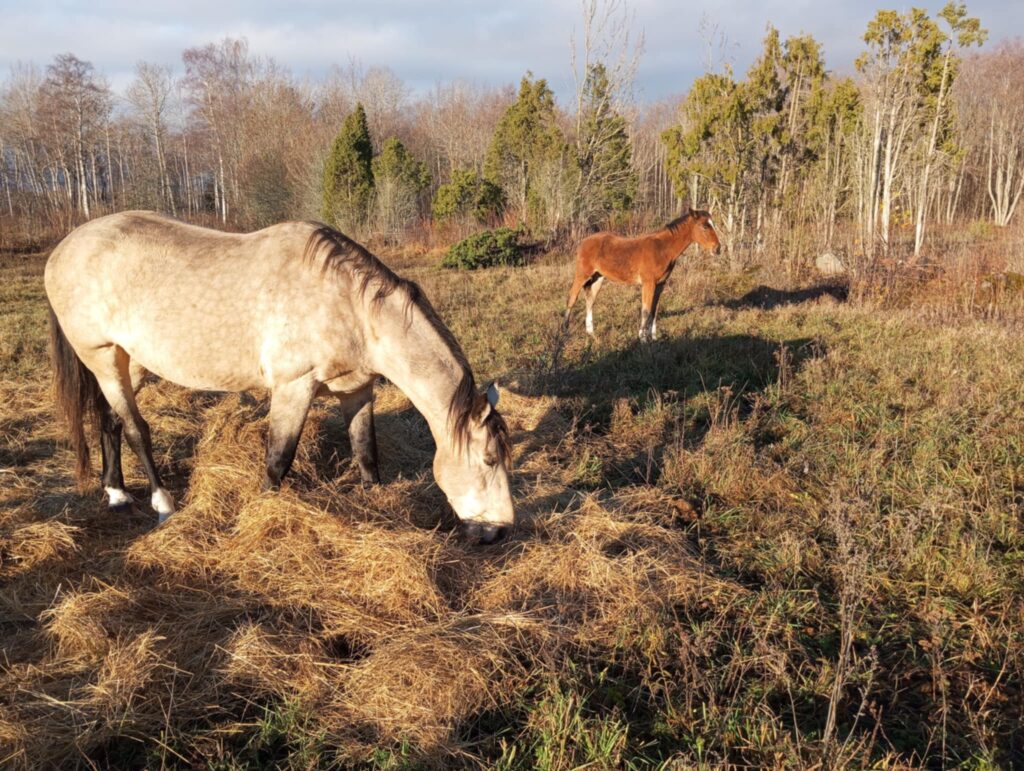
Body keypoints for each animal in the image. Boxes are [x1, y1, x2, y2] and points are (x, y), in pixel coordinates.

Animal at [45, 211, 516, 540]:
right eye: (489, 460)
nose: (496, 533)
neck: (349, 307)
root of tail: (62, 250)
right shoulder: (294, 386)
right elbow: (278, 459)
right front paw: (263, 516)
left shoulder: (356, 389)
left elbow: (365, 452)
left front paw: (375, 502)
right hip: (102, 357)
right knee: (135, 429)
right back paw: (162, 505)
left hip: (132, 360)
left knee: (110, 420)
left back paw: (117, 494)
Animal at [565, 207, 724, 339]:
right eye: (704, 226)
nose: (717, 249)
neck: (662, 249)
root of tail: (583, 241)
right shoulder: (648, 283)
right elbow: (646, 310)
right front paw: (642, 339)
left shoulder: (660, 284)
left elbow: (654, 310)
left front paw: (653, 338)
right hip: (582, 274)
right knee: (572, 297)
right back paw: (564, 330)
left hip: (598, 278)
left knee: (590, 300)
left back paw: (591, 333)